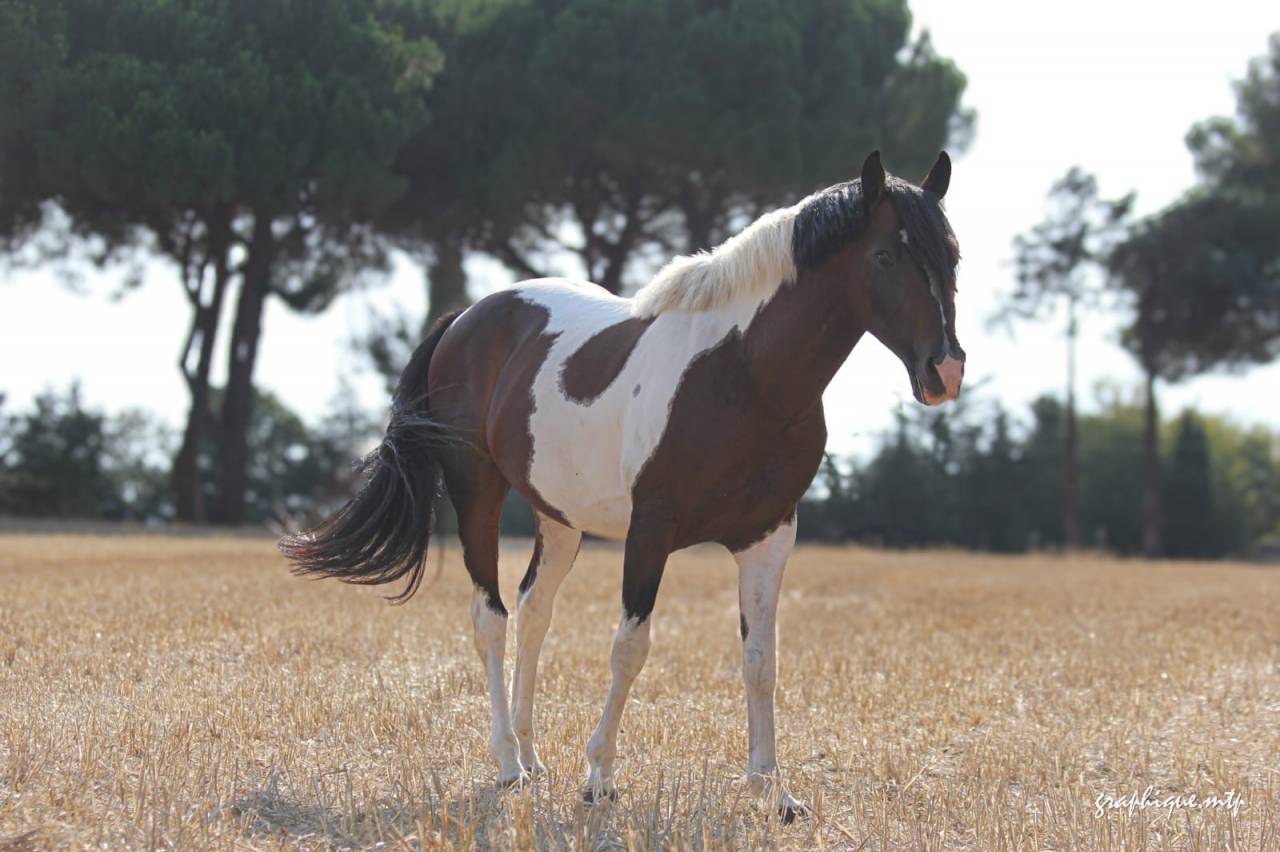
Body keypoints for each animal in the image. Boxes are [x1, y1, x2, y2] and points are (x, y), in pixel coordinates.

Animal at [280, 150, 964, 821]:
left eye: (952, 255)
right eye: (885, 256)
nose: (946, 371)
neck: (743, 373)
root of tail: (465, 319)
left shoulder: (770, 536)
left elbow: (761, 660)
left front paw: (773, 790)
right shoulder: (650, 530)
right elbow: (631, 647)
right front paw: (600, 778)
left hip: (558, 517)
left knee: (534, 611)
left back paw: (531, 757)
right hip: (478, 493)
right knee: (490, 617)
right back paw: (507, 764)